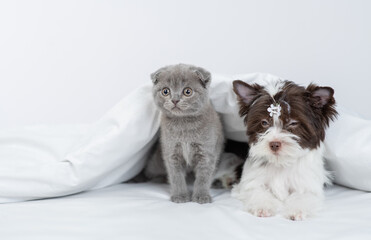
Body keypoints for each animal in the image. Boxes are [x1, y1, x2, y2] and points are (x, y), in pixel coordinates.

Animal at [147, 63, 224, 202]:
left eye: (187, 91)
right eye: (165, 91)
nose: (175, 100)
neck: (184, 126)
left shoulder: (207, 152)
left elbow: (203, 177)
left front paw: (201, 196)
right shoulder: (171, 152)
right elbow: (176, 176)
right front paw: (180, 196)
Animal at [234, 78, 338, 220]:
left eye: (293, 123)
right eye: (264, 122)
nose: (274, 144)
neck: (281, 162)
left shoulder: (309, 185)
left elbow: (304, 195)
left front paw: (297, 210)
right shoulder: (250, 182)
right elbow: (256, 190)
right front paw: (263, 207)